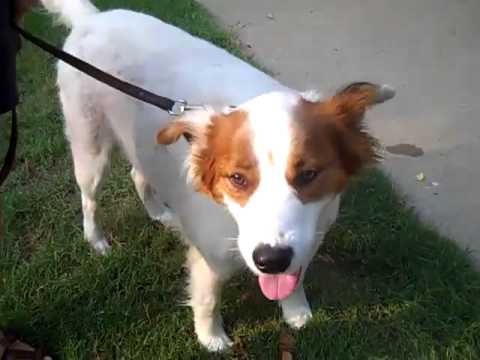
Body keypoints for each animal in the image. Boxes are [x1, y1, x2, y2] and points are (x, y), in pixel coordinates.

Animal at [40, 0, 394, 352]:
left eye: (309, 174)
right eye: (237, 178)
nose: (270, 260)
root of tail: (93, 19)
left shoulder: (308, 240)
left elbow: (294, 281)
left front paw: (296, 313)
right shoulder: (209, 260)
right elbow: (208, 301)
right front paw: (211, 339)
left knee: (138, 173)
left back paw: (159, 214)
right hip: (91, 152)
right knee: (89, 200)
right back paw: (96, 240)